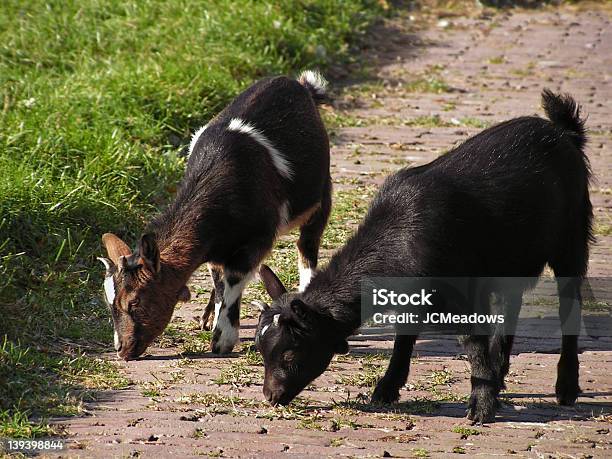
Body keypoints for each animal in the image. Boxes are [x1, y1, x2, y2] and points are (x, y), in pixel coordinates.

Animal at [98, 71, 332, 360]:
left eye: (134, 301)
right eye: (110, 303)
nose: (121, 349)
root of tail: (298, 84)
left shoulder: (257, 239)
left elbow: (233, 280)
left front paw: (222, 340)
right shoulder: (214, 249)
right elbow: (219, 281)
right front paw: (213, 321)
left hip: (322, 195)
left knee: (307, 246)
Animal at [255, 90, 592, 424]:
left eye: (290, 353)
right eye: (261, 350)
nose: (271, 397)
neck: (399, 238)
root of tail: (563, 132)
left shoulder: (462, 291)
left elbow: (473, 344)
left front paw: (481, 406)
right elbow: (404, 338)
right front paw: (387, 388)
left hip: (572, 239)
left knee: (570, 306)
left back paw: (566, 387)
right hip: (512, 259)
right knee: (511, 304)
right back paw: (501, 373)